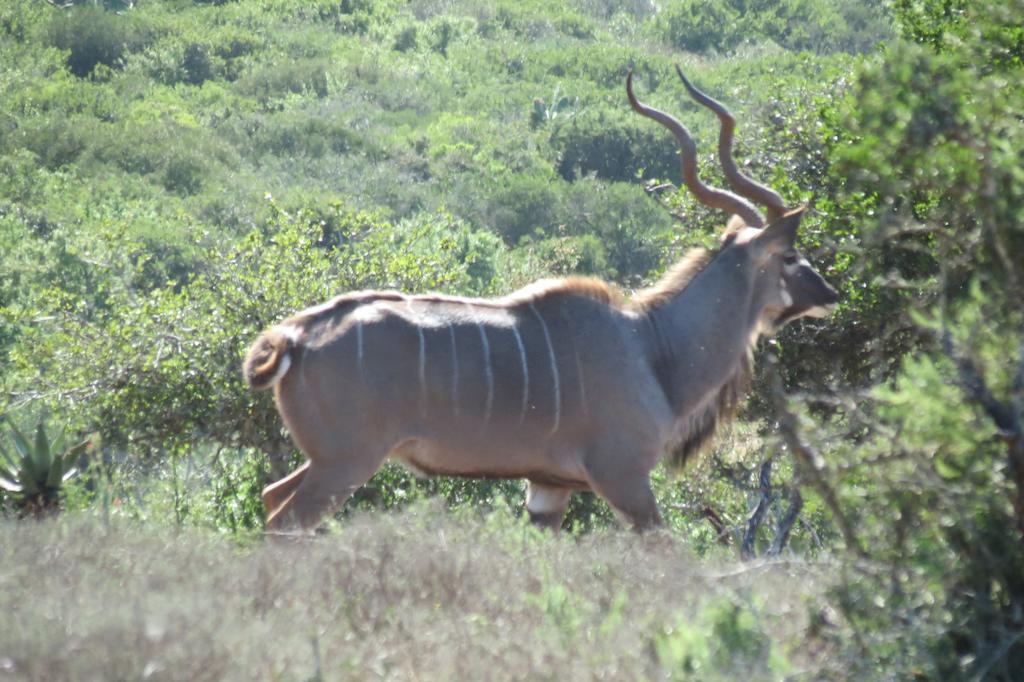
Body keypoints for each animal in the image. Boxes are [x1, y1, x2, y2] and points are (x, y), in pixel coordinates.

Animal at [241, 67, 839, 532]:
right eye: (790, 256)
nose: (830, 294)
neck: (651, 348)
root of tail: (295, 335)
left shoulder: (549, 487)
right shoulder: (624, 478)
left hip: (329, 460)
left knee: (271, 498)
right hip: (346, 462)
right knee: (285, 520)